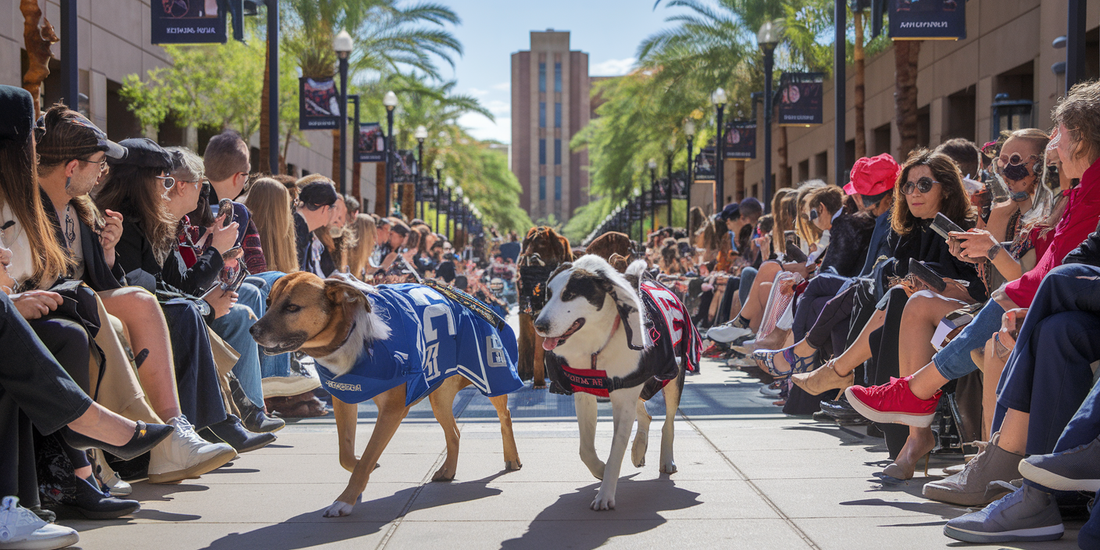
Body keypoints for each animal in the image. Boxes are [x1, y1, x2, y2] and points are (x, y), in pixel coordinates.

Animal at [251, 272, 521, 517]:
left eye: (292, 307)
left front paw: (346, 499)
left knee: (505, 415)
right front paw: (361, 473)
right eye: (268, 302)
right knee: (453, 432)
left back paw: (512, 457)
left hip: (493, 373)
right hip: (439, 396)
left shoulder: (392, 409)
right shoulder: (344, 399)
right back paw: (448, 471)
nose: (253, 330)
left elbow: (368, 455)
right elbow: (346, 454)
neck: (351, 333)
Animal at [534, 255, 704, 508]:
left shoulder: (624, 396)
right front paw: (601, 470)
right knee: (645, 414)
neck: (597, 342)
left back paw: (665, 459)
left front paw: (605, 495)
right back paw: (638, 449)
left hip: (673, 375)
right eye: (549, 293)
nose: (539, 326)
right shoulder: (586, 390)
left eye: (570, 294)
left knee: (668, 421)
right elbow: (585, 449)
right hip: (634, 384)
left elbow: (616, 450)